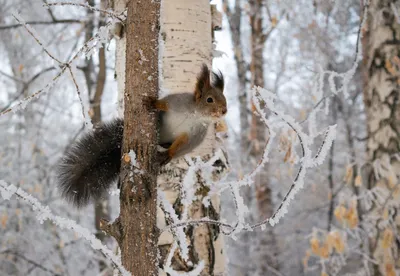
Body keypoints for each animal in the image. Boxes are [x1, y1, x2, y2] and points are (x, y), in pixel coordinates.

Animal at [56, 64, 227, 207]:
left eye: (224, 99)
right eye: (209, 99)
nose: (224, 110)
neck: (196, 116)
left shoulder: (194, 136)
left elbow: (182, 147)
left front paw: (169, 155)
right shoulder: (177, 102)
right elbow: (164, 103)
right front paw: (154, 103)